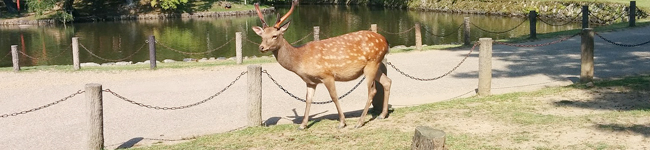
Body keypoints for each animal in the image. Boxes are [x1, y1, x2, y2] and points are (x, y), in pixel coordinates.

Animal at [253, 0, 390, 129]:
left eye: (275, 36)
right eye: (262, 36)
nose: (261, 47)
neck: (300, 59)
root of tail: (385, 41)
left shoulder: (327, 75)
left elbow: (334, 96)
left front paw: (342, 122)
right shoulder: (310, 81)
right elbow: (308, 100)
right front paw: (303, 125)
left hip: (372, 63)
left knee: (372, 90)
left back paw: (360, 122)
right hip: (375, 65)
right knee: (387, 81)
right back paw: (382, 115)